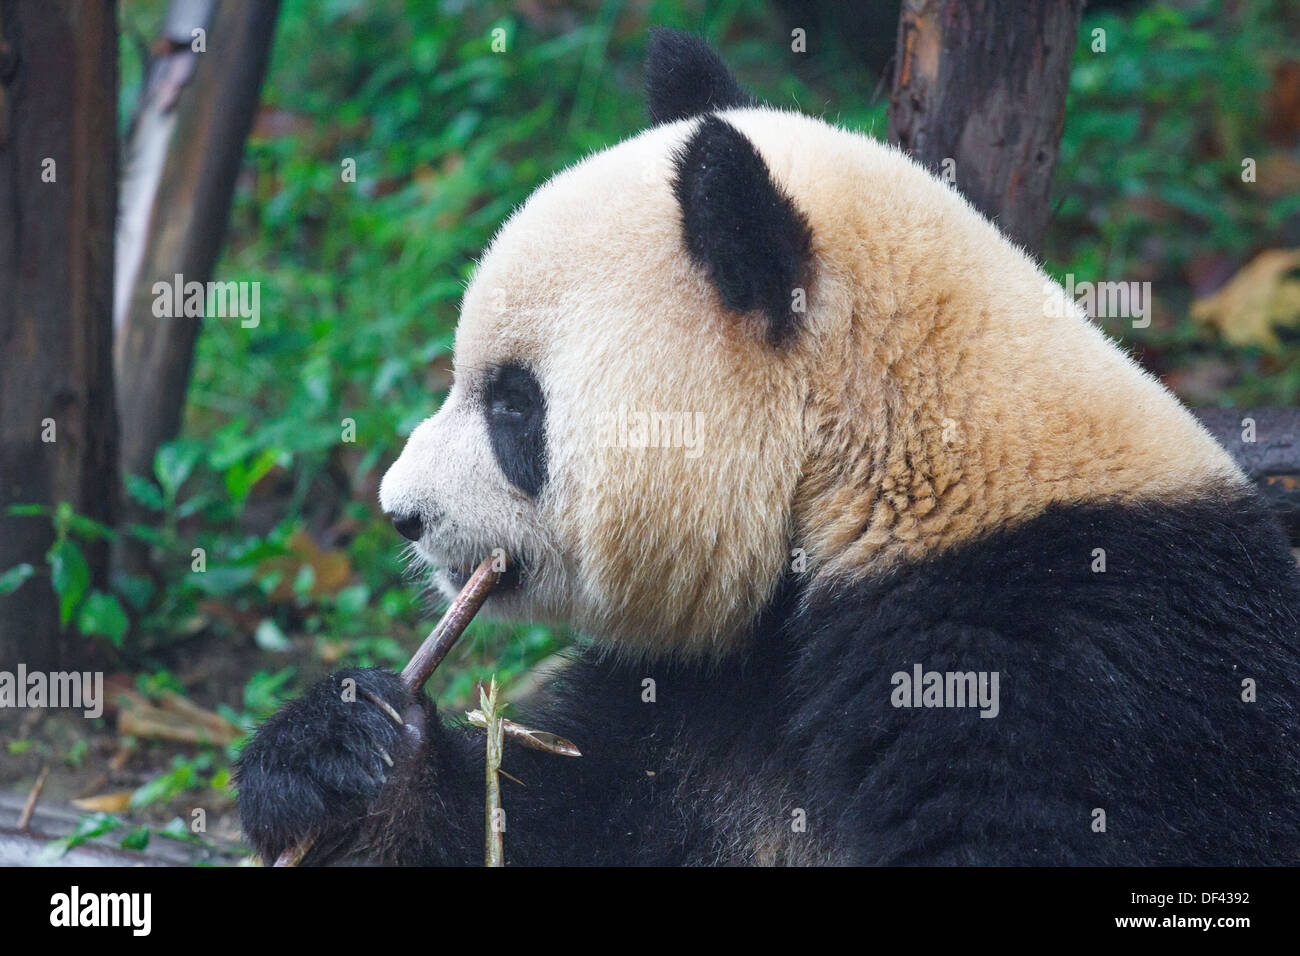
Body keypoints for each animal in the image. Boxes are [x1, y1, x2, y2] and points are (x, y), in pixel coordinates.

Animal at [239, 29, 1300, 868]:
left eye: (513, 406)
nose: (400, 513)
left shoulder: (1076, 663)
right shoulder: (709, 694)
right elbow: (560, 821)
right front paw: (340, 756)